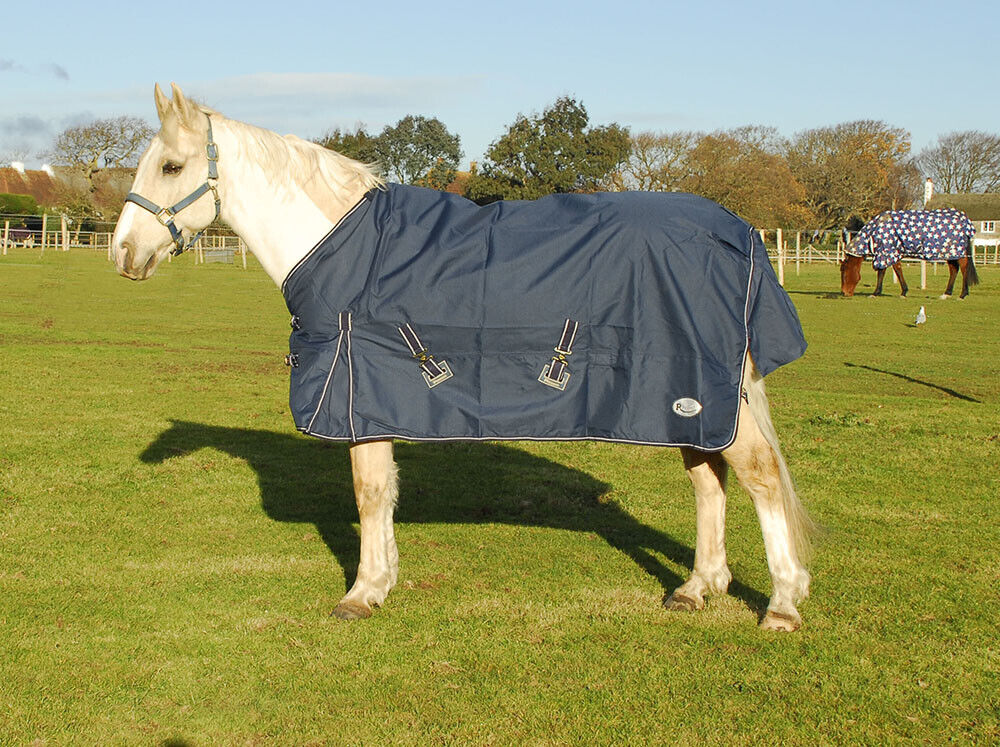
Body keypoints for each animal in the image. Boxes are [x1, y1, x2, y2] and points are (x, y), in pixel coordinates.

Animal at [112, 83, 813, 631]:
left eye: (170, 167)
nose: (122, 254)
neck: (345, 249)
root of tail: (739, 233)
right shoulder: (374, 403)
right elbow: (382, 492)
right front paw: (382, 581)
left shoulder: (359, 394)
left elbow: (368, 493)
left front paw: (361, 593)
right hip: (688, 400)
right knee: (709, 479)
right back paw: (698, 587)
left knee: (759, 477)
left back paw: (782, 603)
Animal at [840, 209, 980, 299]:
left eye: (844, 273)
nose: (844, 293)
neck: (876, 230)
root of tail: (964, 220)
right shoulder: (891, 252)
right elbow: (895, 270)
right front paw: (901, 291)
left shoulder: (886, 252)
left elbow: (885, 271)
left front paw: (877, 293)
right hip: (950, 254)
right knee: (954, 270)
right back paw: (946, 293)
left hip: (958, 253)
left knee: (964, 269)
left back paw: (963, 294)